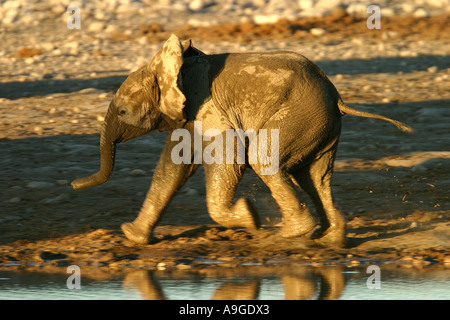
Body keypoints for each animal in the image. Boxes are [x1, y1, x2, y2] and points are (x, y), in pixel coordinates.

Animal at [72, 33, 414, 246]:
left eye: (122, 111)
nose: (74, 184)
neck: (173, 68)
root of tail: (337, 97)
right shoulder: (191, 114)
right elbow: (172, 166)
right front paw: (132, 236)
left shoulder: (209, 107)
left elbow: (228, 159)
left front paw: (249, 217)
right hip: (321, 126)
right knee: (314, 177)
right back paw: (330, 240)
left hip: (300, 115)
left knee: (264, 159)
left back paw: (291, 234)